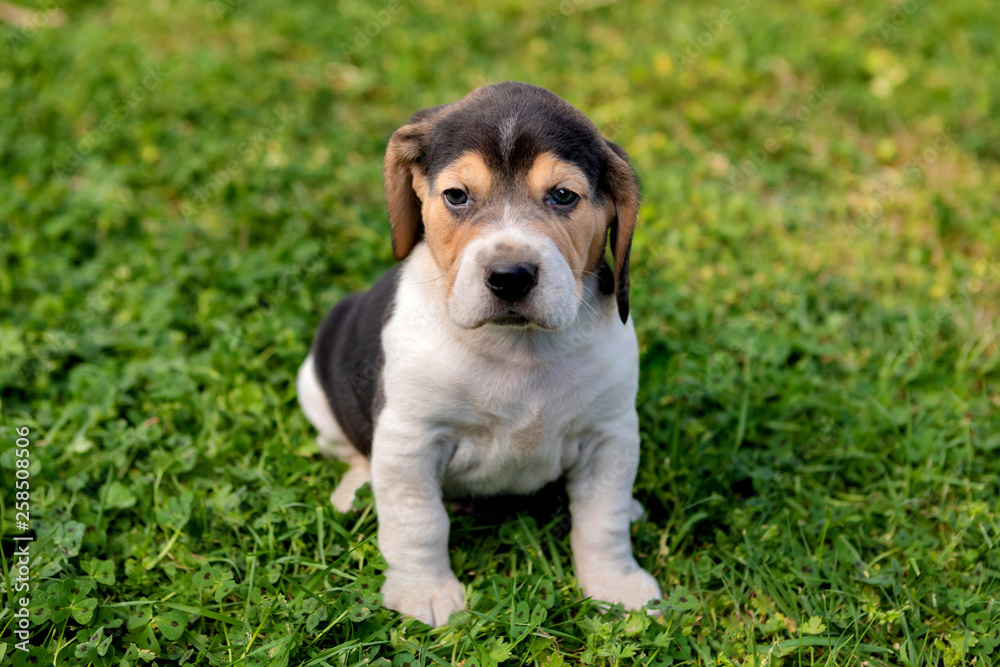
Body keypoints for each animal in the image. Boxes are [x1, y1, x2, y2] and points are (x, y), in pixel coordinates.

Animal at [292, 83, 660, 628]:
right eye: (457, 196)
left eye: (563, 196)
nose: (510, 276)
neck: (517, 347)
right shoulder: (410, 440)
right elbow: (417, 521)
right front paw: (423, 592)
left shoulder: (609, 435)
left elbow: (602, 520)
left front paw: (616, 584)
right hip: (316, 386)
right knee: (345, 446)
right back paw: (355, 489)